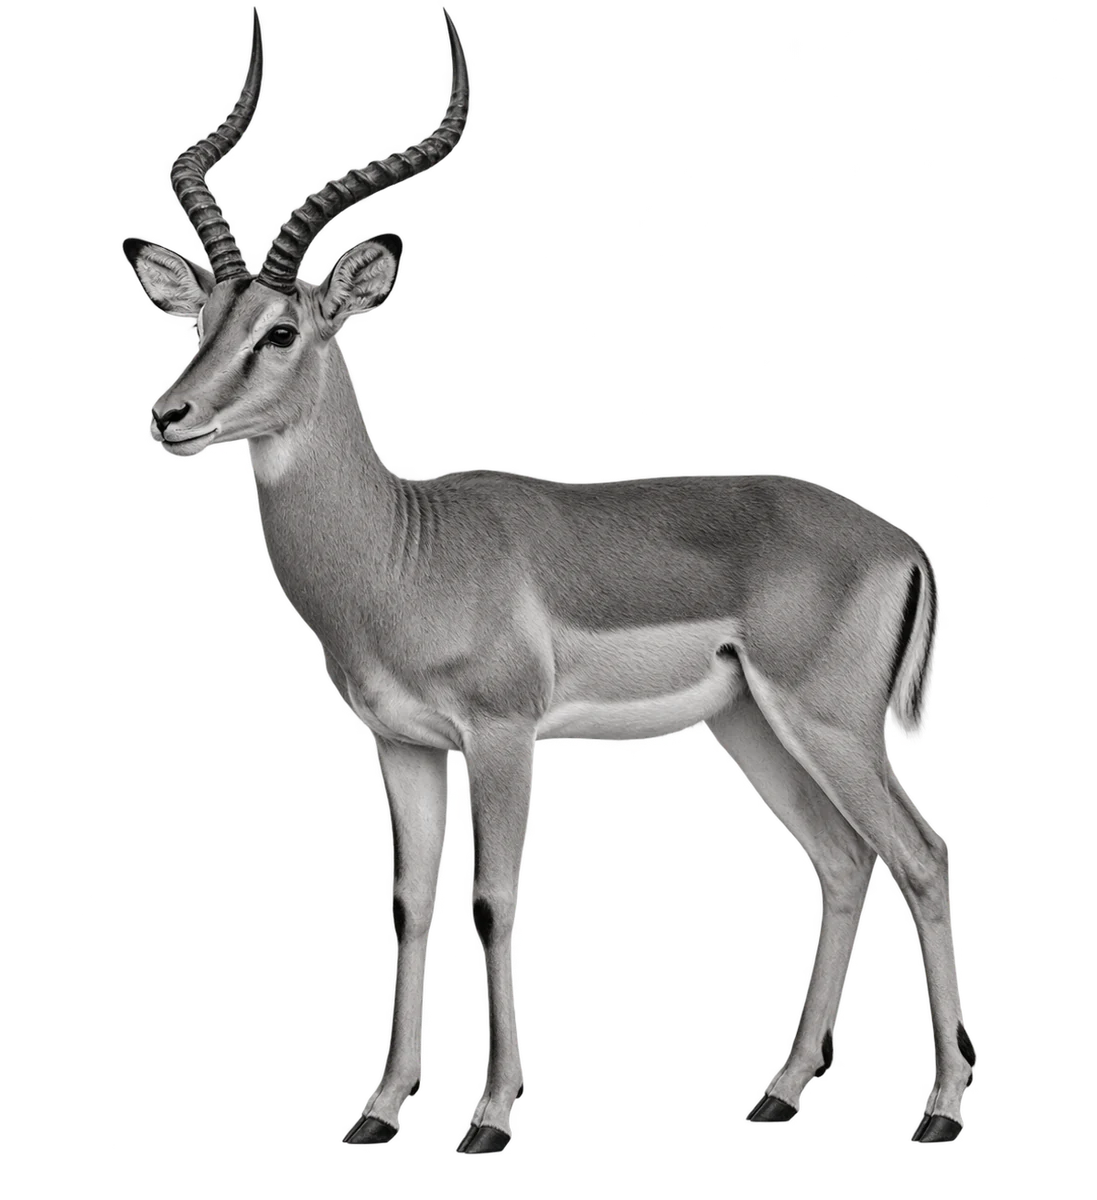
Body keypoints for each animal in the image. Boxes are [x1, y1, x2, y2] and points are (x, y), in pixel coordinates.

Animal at [124, 7, 976, 1152]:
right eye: (197, 322)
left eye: (282, 330)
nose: (170, 416)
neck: (402, 548)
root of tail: (898, 541)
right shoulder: (400, 743)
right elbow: (409, 901)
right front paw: (378, 1112)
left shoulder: (502, 736)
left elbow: (492, 901)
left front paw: (488, 1117)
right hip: (751, 726)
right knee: (842, 864)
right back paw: (777, 1094)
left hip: (831, 725)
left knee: (919, 856)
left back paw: (941, 1110)